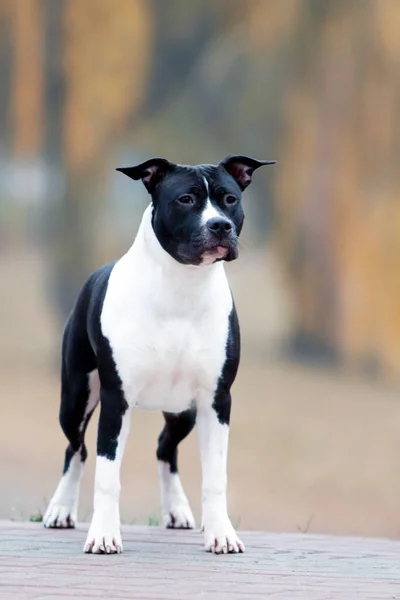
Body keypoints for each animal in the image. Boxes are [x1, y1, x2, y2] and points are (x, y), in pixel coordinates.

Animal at [43, 154, 276, 552]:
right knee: (77, 448)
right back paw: (61, 509)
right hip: (76, 398)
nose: (220, 225)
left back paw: (178, 511)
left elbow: (216, 477)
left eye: (230, 199)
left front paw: (221, 533)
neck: (182, 287)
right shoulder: (116, 398)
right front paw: (103, 534)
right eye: (186, 199)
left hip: (183, 412)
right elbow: (107, 474)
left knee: (165, 448)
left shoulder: (216, 400)